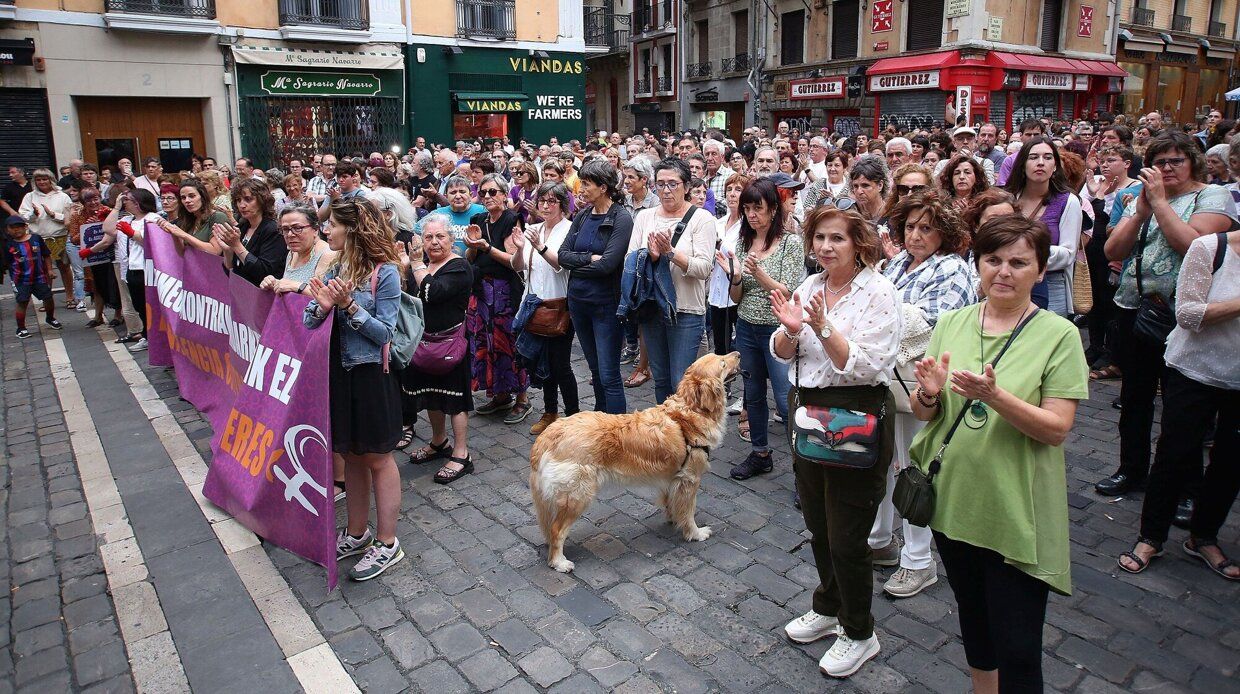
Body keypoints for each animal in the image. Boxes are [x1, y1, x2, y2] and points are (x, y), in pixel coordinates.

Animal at [528, 349, 739, 572]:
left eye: (720, 355)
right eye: (723, 362)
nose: (738, 353)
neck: (689, 412)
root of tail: (548, 435)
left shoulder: (672, 478)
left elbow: (672, 504)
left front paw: (674, 519)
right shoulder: (690, 480)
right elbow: (689, 512)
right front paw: (695, 533)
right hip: (578, 495)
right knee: (556, 530)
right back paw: (559, 562)